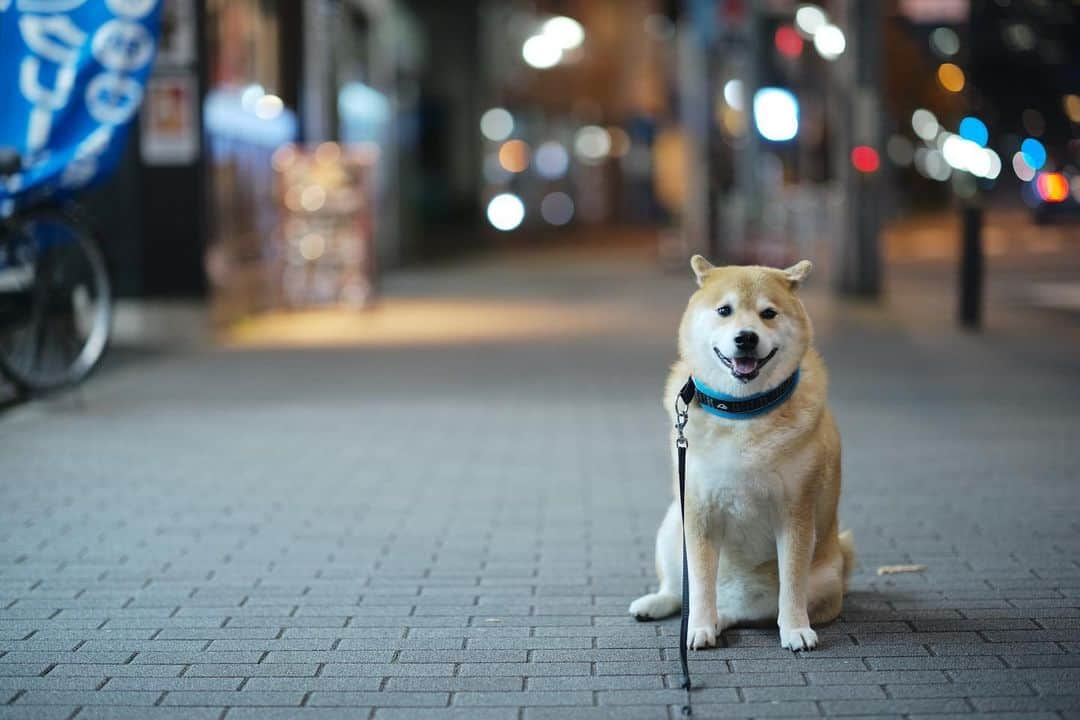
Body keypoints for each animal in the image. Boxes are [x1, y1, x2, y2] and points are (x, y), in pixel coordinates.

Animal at [630, 255, 851, 651]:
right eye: (724, 310)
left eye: (768, 313)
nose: (746, 337)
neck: (742, 410)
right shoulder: (698, 511)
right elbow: (699, 583)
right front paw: (699, 627)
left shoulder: (795, 512)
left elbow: (791, 583)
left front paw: (795, 629)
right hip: (671, 526)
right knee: (678, 590)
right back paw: (660, 605)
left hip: (824, 578)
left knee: (749, 610)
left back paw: (728, 619)